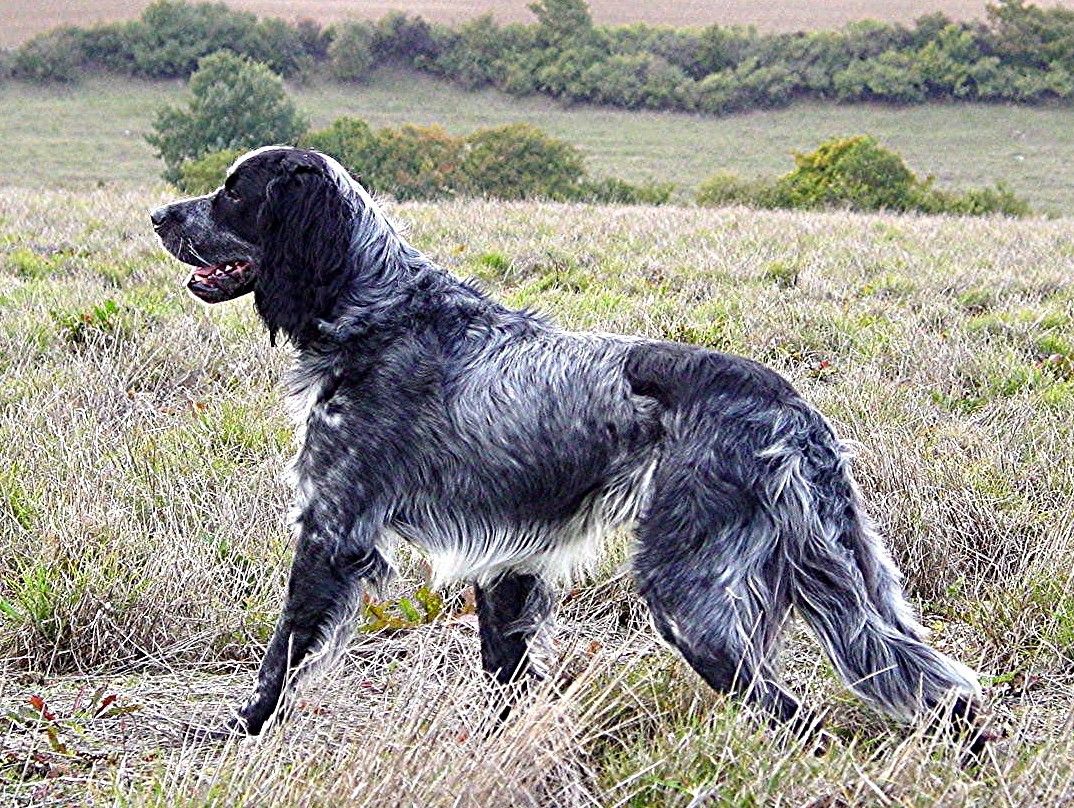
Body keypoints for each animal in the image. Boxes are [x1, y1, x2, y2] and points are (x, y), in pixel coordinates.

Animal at [153, 147, 988, 752]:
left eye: (233, 194)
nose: (159, 213)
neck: (378, 311)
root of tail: (792, 410)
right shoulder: (506, 563)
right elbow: (506, 678)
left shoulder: (334, 529)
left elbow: (282, 655)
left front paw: (236, 734)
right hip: (851, 581)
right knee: (943, 691)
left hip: (689, 595)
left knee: (798, 717)